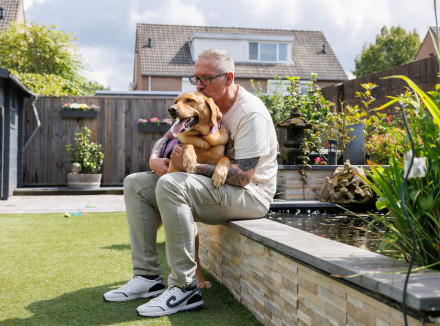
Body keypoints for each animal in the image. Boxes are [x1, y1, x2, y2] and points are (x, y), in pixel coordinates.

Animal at [160, 91, 232, 288]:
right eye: (176, 101)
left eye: (190, 100)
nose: (171, 109)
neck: (203, 139)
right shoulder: (176, 160)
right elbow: (187, 145)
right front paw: (190, 159)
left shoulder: (221, 154)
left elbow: (224, 159)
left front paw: (219, 175)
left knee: (196, 260)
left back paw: (200, 281)